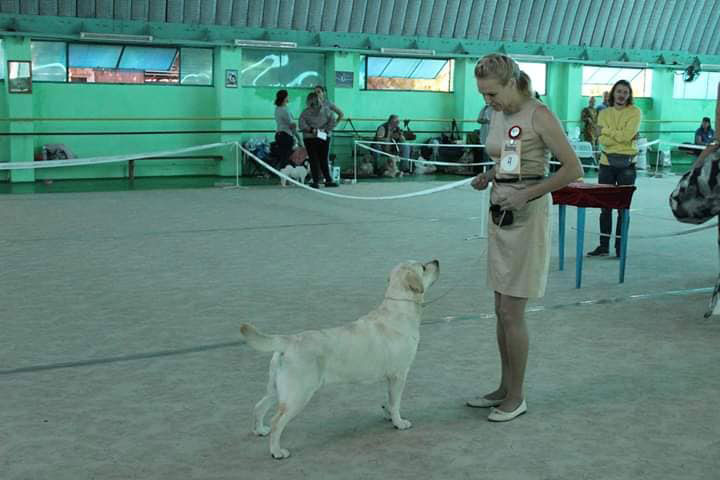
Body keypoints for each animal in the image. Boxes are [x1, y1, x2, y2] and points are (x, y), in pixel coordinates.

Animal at [240, 260, 439, 459]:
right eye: (423, 267)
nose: (436, 261)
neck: (400, 310)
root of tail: (288, 341)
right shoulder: (399, 374)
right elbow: (395, 402)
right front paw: (399, 422)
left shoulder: (390, 377)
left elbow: (389, 399)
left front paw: (388, 414)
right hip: (298, 394)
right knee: (277, 421)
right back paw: (277, 451)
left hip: (277, 389)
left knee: (259, 406)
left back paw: (260, 430)